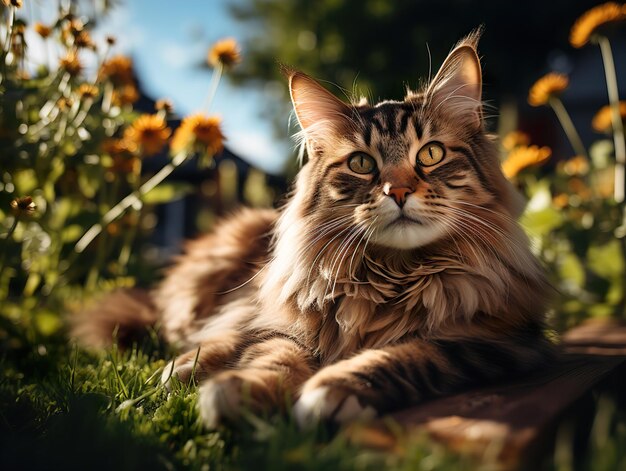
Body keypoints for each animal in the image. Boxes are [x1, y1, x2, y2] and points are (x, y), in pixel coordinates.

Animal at [70, 32, 552, 432]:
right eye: (362, 163)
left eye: (431, 154)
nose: (397, 191)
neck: (395, 275)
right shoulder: (292, 327)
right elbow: (275, 357)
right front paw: (242, 390)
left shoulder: (498, 340)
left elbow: (409, 353)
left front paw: (336, 389)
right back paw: (182, 370)